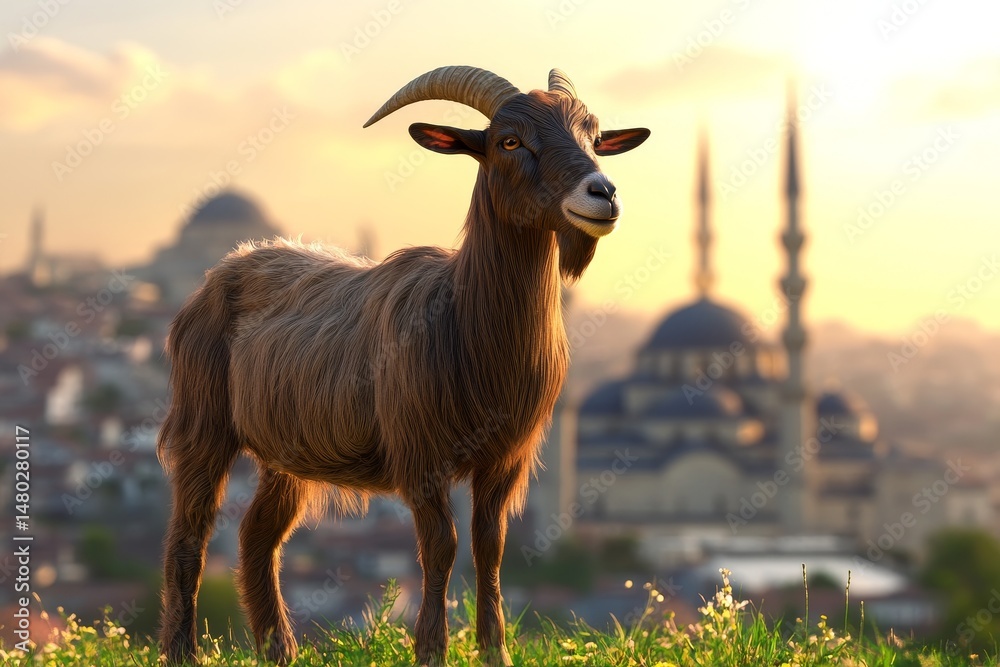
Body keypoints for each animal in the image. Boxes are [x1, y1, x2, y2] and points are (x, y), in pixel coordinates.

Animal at [157, 66, 649, 667]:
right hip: (203, 423)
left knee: (256, 537)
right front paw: (431, 650)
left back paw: (280, 650)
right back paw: (183, 652)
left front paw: (495, 652)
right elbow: (440, 548)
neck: (462, 317)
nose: (603, 193)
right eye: (509, 141)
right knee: (190, 533)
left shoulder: (506, 460)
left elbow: (490, 546)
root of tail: (221, 270)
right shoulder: (421, 455)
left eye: (594, 136)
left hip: (287, 452)